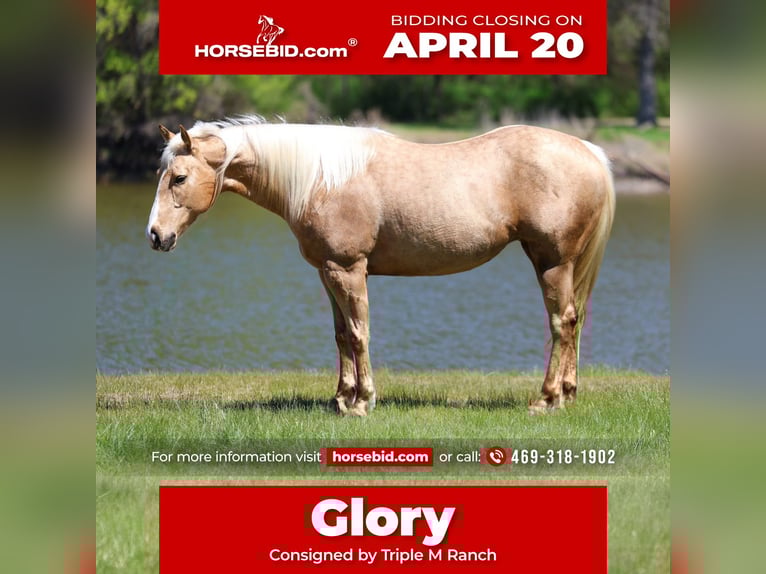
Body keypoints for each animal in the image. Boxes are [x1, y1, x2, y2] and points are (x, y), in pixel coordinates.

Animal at [147, 117, 614, 416]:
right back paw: (567, 394)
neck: (322, 180)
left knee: (560, 323)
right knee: (573, 321)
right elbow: (340, 335)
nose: (155, 235)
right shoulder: (327, 272)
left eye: (179, 178)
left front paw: (363, 401)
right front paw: (341, 398)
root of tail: (590, 152)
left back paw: (547, 400)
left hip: (553, 263)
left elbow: (358, 334)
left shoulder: (348, 269)